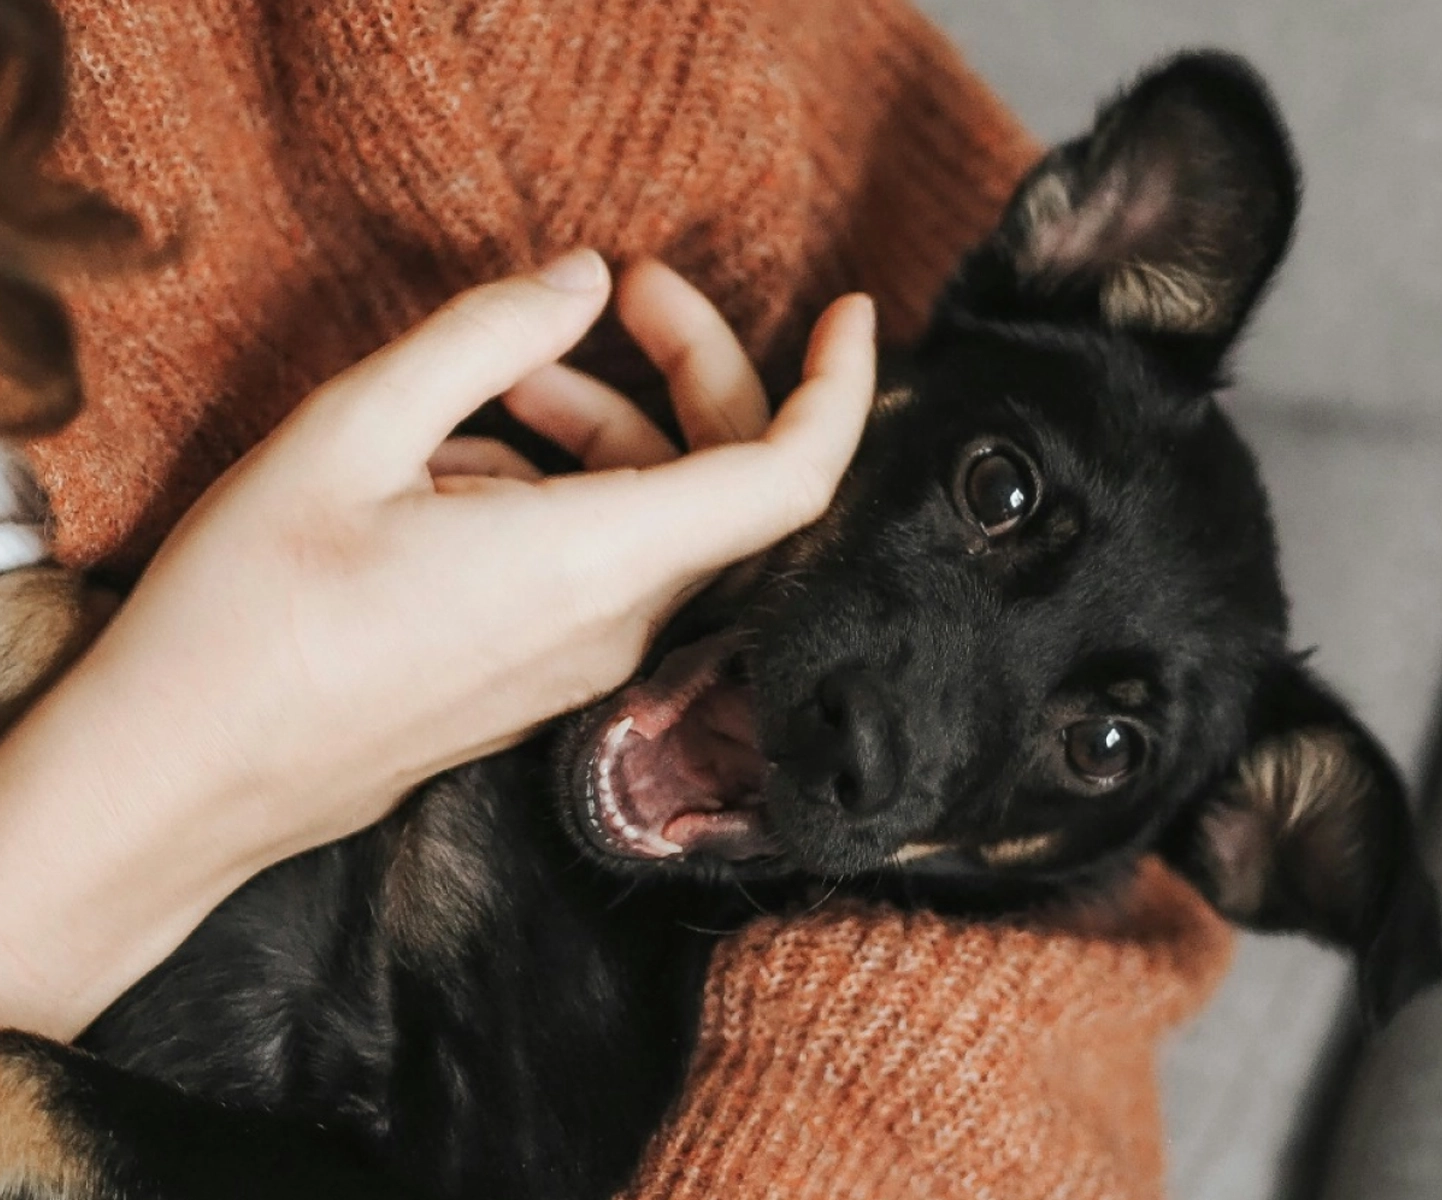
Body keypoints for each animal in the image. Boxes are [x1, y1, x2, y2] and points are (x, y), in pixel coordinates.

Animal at [2, 49, 1442, 1200]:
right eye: (998, 485)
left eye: (1105, 751)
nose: (852, 749)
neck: (551, 843)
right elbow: (76, 598)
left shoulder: (460, 1172)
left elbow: (36, 1078)